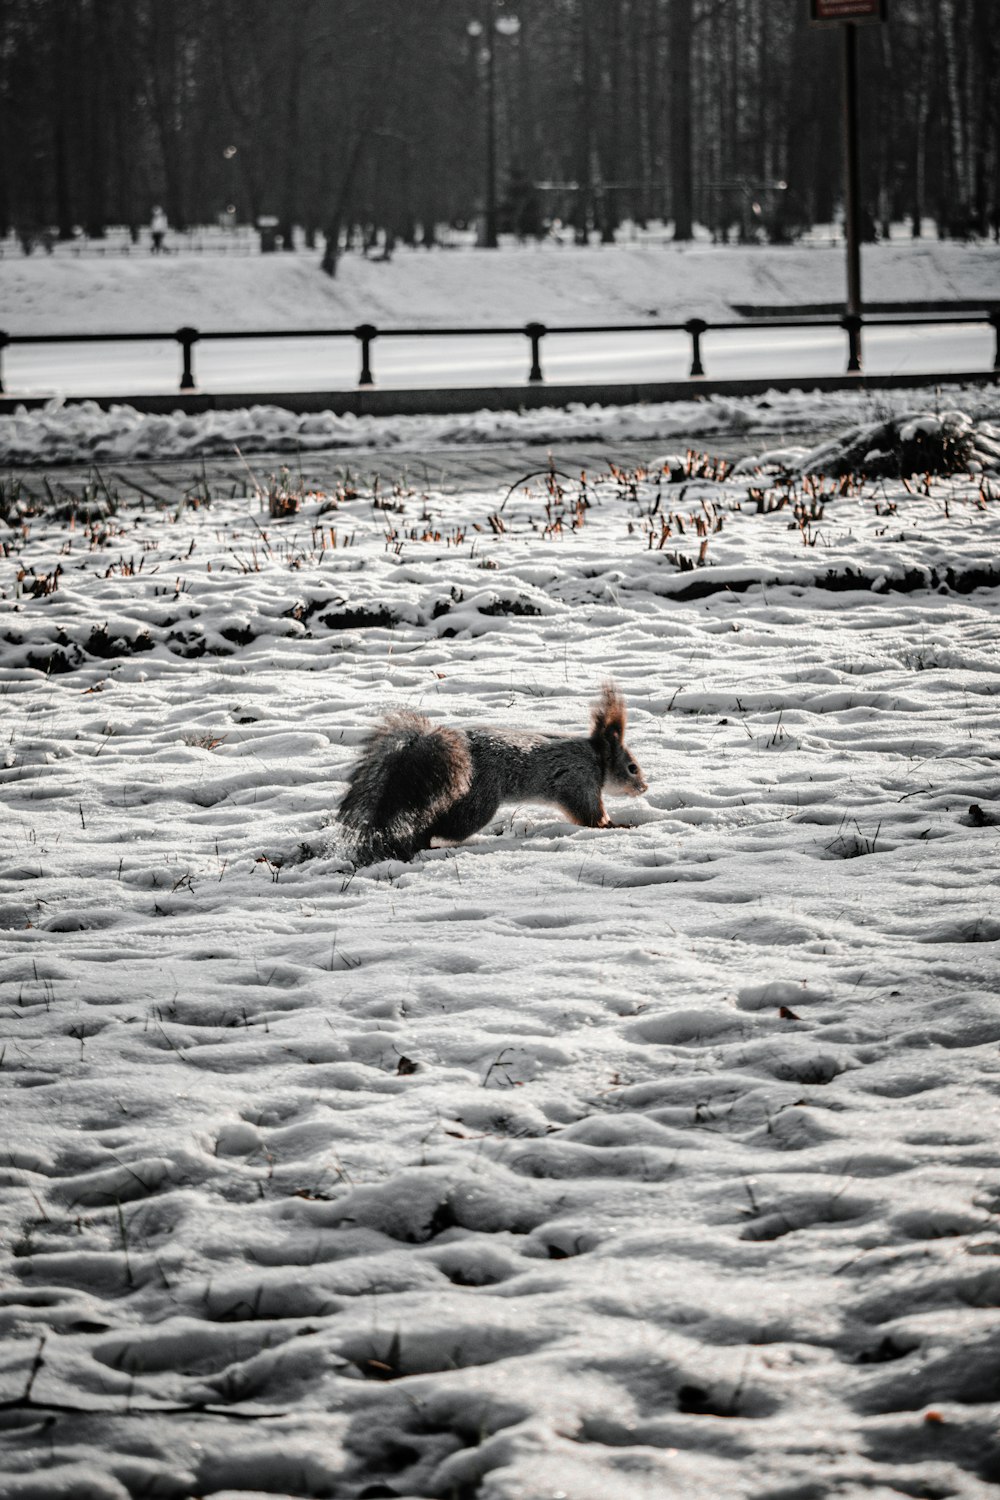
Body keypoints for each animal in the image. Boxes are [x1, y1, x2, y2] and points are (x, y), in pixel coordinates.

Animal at [335, 684, 650, 870]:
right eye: (632, 767)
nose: (644, 788)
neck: (595, 759)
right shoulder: (578, 781)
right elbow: (590, 817)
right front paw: (616, 826)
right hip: (479, 803)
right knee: (440, 826)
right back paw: (421, 842)